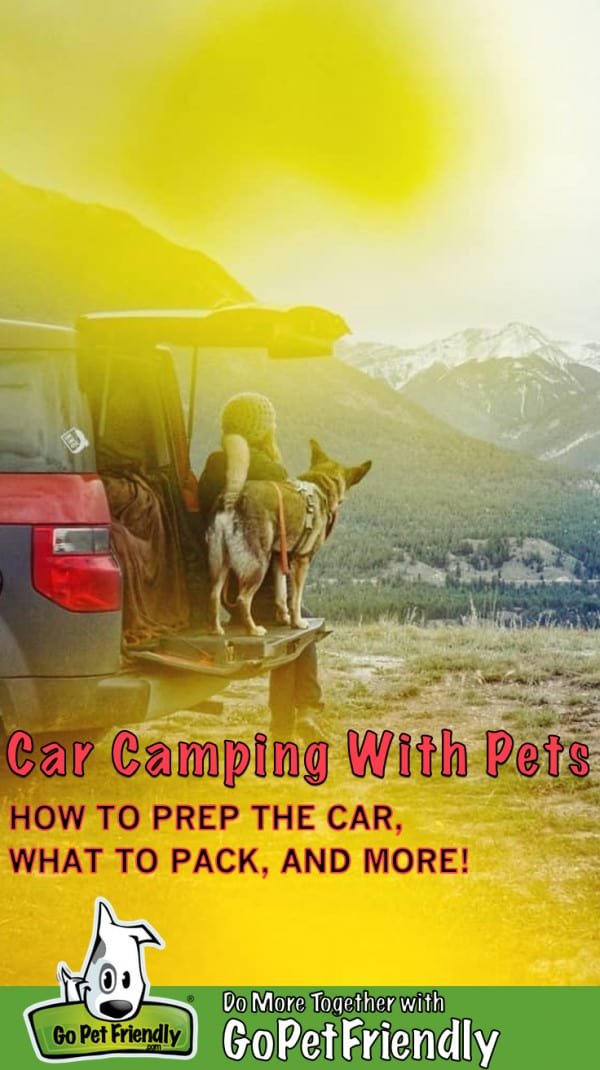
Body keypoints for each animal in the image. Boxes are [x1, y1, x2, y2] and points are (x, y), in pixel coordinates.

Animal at [205, 440, 370, 633]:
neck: (321, 483)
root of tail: (234, 497)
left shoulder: (280, 558)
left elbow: (282, 595)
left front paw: (284, 619)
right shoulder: (301, 561)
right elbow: (296, 599)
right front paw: (297, 622)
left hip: (222, 563)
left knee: (213, 595)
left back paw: (216, 630)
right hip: (259, 563)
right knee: (242, 599)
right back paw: (253, 630)